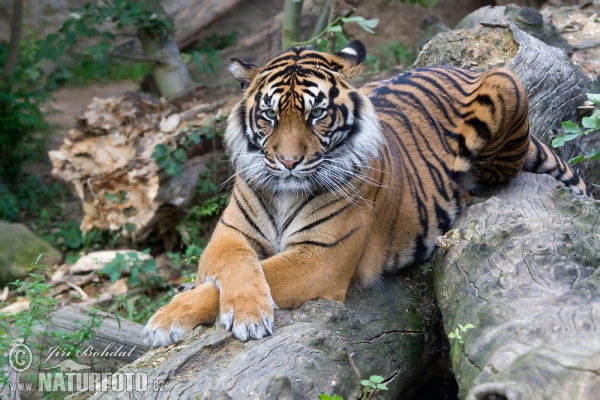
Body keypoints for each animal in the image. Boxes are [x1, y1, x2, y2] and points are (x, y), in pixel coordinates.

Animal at [144, 39, 584, 346]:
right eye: (268, 115)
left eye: (317, 114)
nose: (288, 162)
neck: (285, 192)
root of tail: (455, 68)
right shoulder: (227, 236)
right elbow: (236, 265)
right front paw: (183, 313)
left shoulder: (321, 257)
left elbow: (254, 275)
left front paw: (229, 315)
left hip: (505, 84)